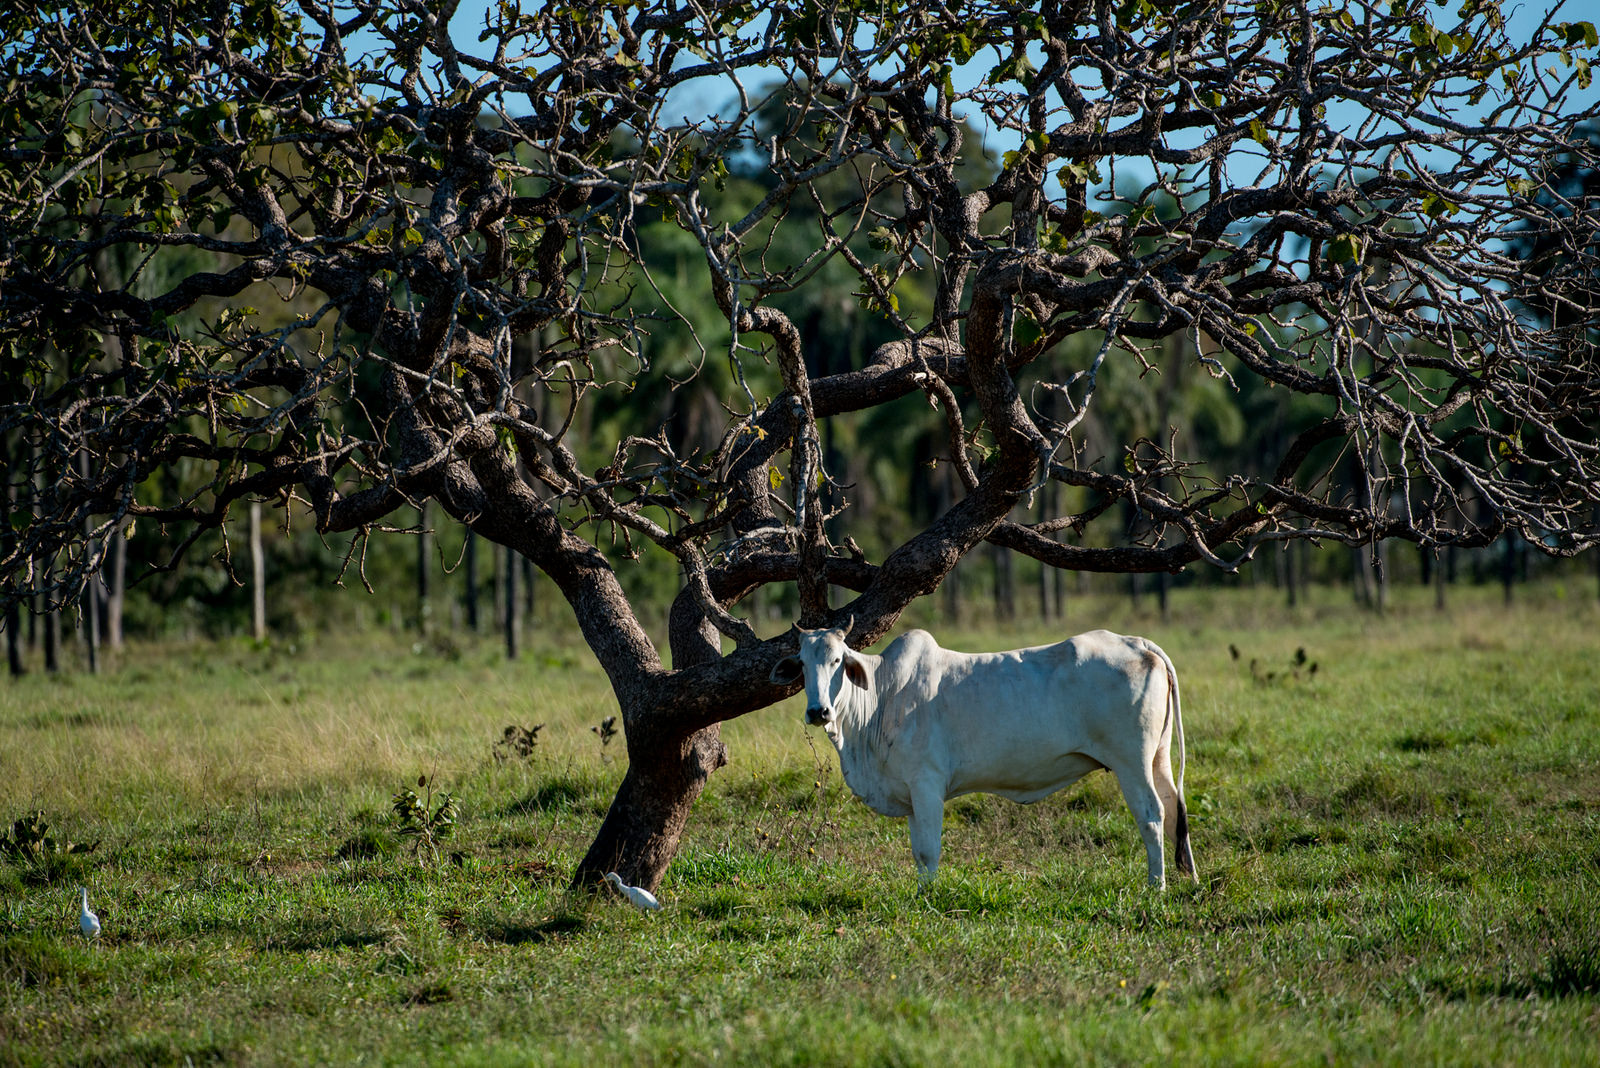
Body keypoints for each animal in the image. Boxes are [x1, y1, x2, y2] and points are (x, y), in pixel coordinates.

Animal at [768, 620, 1196, 888]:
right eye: (802, 663)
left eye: (838, 660)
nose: (818, 711)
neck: (881, 695)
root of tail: (1138, 643)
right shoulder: (911, 794)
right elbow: (918, 852)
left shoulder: (927, 784)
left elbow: (928, 851)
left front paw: (928, 898)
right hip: (1157, 757)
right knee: (1175, 808)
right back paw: (1187, 881)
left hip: (1131, 762)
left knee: (1152, 816)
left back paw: (1156, 887)